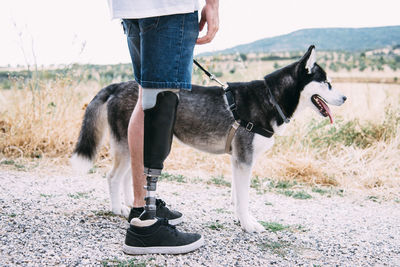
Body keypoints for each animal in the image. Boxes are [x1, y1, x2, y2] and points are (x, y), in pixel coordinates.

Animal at [72, 46, 346, 234]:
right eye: (326, 83)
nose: (345, 98)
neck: (271, 97)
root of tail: (118, 85)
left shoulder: (238, 161)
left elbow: (237, 195)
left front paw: (240, 218)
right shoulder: (244, 160)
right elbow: (244, 198)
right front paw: (249, 224)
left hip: (136, 144)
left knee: (129, 175)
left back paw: (132, 204)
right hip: (127, 145)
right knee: (113, 177)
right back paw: (118, 208)